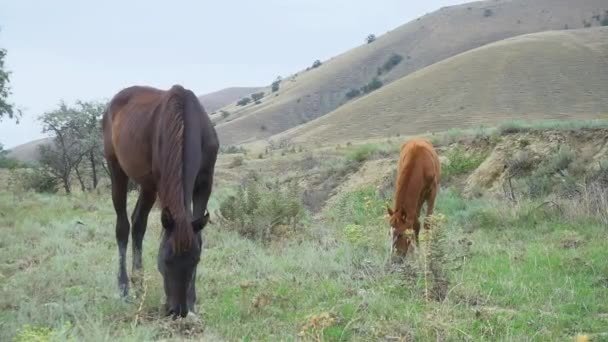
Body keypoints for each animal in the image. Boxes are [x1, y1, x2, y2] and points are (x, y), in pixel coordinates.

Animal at [102, 83, 218, 318]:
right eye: (165, 260)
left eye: (196, 260)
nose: (178, 311)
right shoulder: (163, 180)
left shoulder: (205, 183)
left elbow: (199, 237)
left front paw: (193, 302)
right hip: (117, 169)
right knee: (123, 227)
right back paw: (125, 287)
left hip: (148, 185)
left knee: (138, 223)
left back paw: (139, 283)